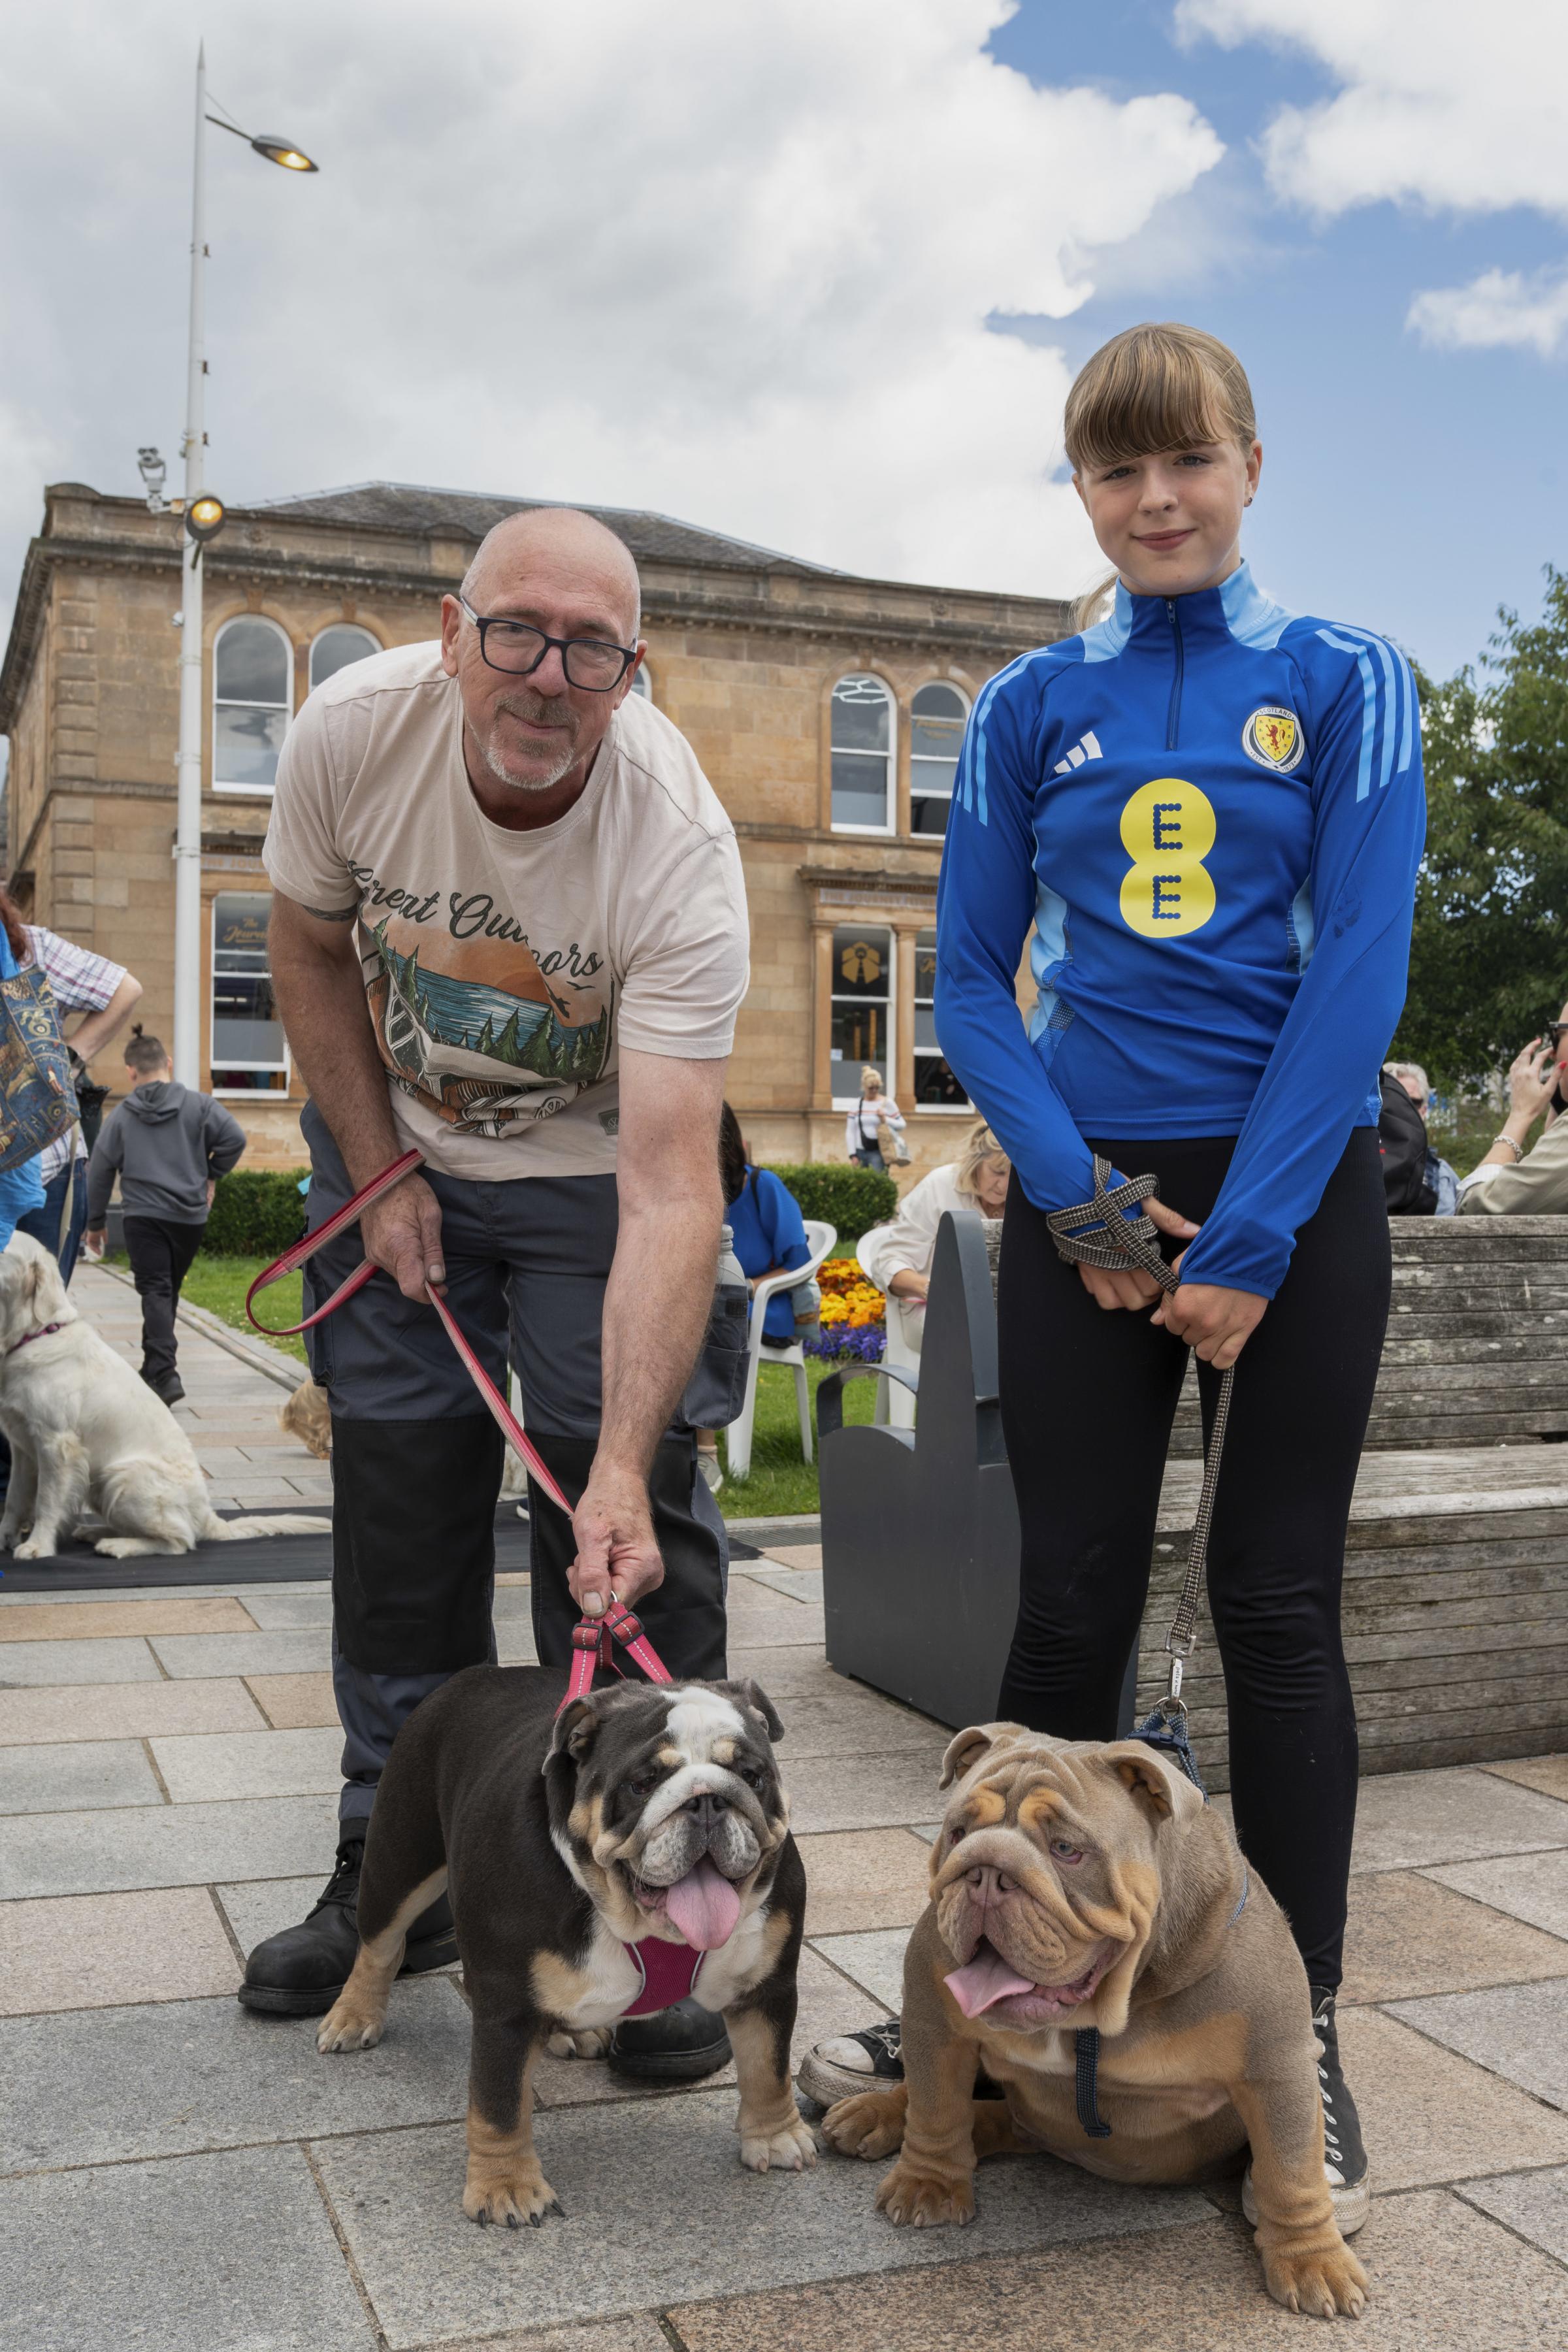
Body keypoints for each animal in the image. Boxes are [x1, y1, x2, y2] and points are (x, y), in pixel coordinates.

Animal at [0, 1232, 329, 1561]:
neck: (36, 1334)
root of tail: (208, 1516)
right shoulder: (22, 1446)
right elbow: (15, 1498)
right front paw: (6, 1537)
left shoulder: (57, 1445)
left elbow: (47, 1501)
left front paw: (38, 1546)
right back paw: (97, 1532)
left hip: (122, 1475)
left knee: (179, 1541)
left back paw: (116, 1545)